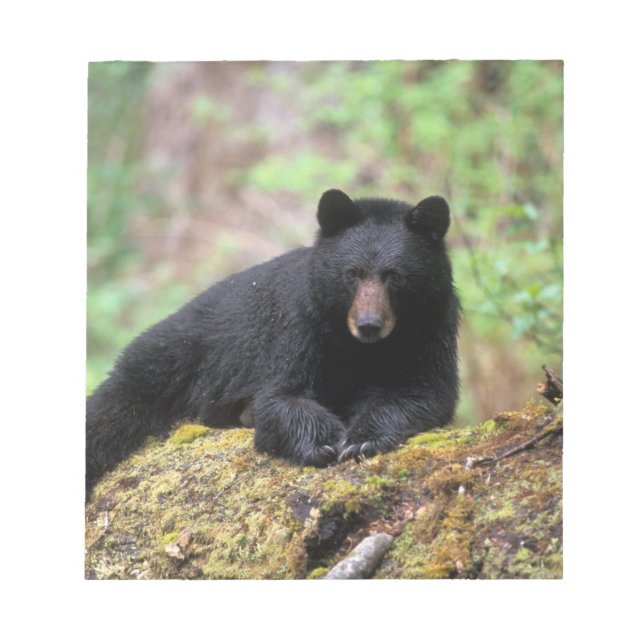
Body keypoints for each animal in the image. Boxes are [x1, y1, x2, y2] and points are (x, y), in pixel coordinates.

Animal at [86, 189, 460, 495]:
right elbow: (281, 395)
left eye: (393, 276)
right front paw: (323, 443)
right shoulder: (298, 325)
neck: (360, 348)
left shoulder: (432, 327)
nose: (369, 325)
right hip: (171, 357)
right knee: (112, 409)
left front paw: (363, 439)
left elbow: (423, 390)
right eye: (352, 273)